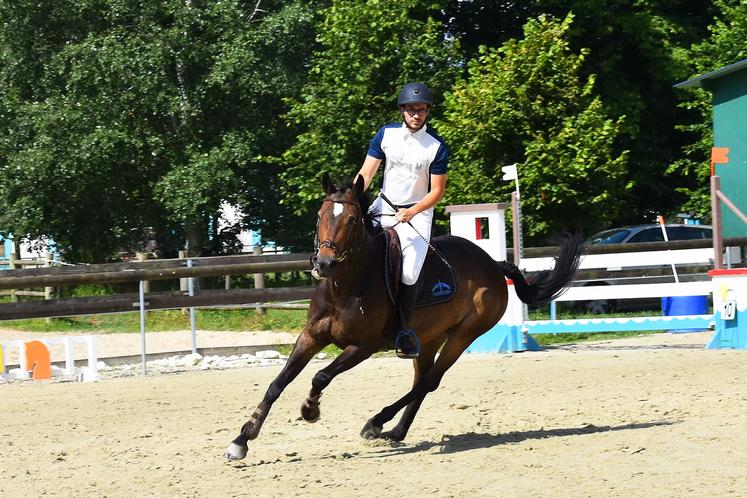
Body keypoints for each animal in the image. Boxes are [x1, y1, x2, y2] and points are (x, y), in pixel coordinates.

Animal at [225, 173, 584, 460]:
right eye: (320, 215)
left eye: (352, 221)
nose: (323, 264)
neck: (346, 285)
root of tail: (494, 265)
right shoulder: (311, 337)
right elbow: (277, 383)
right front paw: (242, 440)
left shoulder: (363, 347)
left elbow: (321, 377)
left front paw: (310, 410)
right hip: (428, 339)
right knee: (421, 381)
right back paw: (394, 432)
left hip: (463, 335)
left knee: (429, 381)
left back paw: (376, 423)